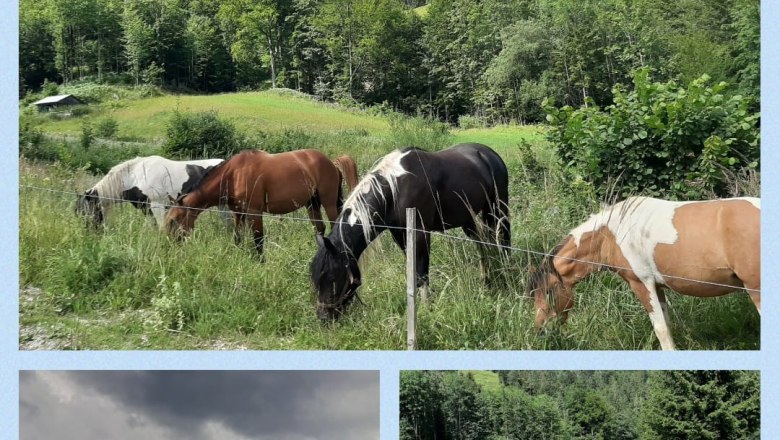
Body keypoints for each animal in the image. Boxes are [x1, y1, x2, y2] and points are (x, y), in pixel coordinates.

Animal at [165, 150, 344, 256]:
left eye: (174, 220)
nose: (170, 245)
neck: (233, 175)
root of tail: (331, 163)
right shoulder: (238, 213)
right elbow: (237, 236)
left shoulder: (254, 211)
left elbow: (258, 240)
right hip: (312, 204)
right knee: (319, 228)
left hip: (328, 203)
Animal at [310, 144, 512, 320]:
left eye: (332, 277)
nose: (323, 317)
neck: (394, 191)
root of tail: (488, 153)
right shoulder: (399, 234)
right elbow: (413, 271)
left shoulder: (421, 233)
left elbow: (422, 273)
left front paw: (426, 309)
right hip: (468, 217)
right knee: (481, 244)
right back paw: (486, 280)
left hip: (498, 207)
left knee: (504, 239)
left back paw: (507, 272)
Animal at [528, 196, 760, 350]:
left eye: (548, 291)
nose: (540, 331)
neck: (610, 235)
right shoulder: (657, 287)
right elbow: (666, 323)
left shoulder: (642, 284)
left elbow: (660, 329)